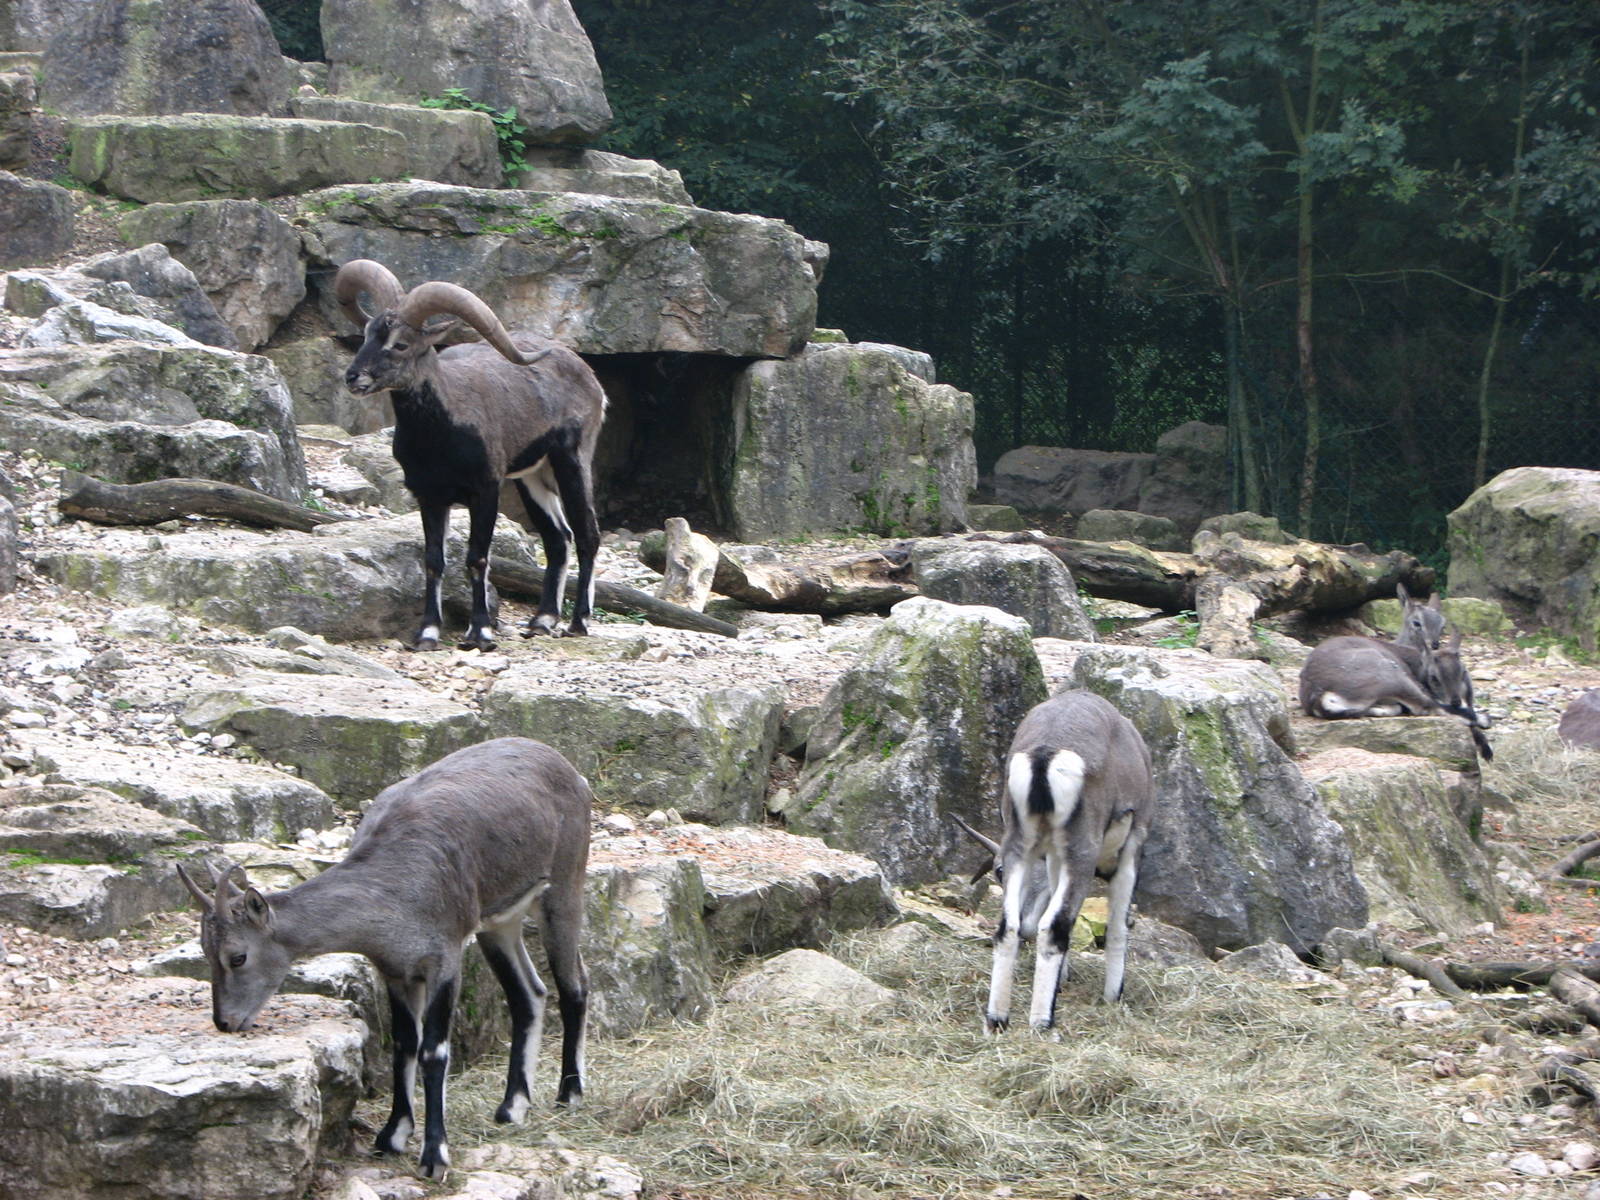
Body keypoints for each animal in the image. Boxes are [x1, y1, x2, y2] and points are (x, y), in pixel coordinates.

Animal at [176, 737, 592, 1181]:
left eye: (237, 957)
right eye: (204, 951)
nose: (225, 1021)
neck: (395, 889)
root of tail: (564, 765)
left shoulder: (444, 958)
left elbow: (433, 1051)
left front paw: (434, 1154)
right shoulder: (395, 970)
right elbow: (404, 1044)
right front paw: (392, 1136)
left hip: (563, 886)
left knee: (573, 986)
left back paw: (569, 1093)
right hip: (499, 921)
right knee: (528, 994)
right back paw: (512, 1107)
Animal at [334, 259, 607, 650]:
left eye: (400, 344)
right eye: (368, 333)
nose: (354, 377)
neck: (440, 437)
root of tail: (589, 376)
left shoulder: (486, 490)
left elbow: (477, 557)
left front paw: (480, 632)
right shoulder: (430, 496)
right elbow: (433, 560)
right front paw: (427, 632)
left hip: (571, 460)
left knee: (587, 534)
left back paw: (578, 622)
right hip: (531, 476)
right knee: (558, 537)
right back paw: (542, 620)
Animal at [954, 689, 1154, 1031]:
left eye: (998, 872)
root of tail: (1045, 753)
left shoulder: (1050, 859)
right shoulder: (1132, 844)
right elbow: (1118, 925)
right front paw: (1113, 997)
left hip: (1021, 845)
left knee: (1008, 927)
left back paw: (997, 1019)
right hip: (1081, 854)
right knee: (1053, 927)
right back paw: (1042, 1024)